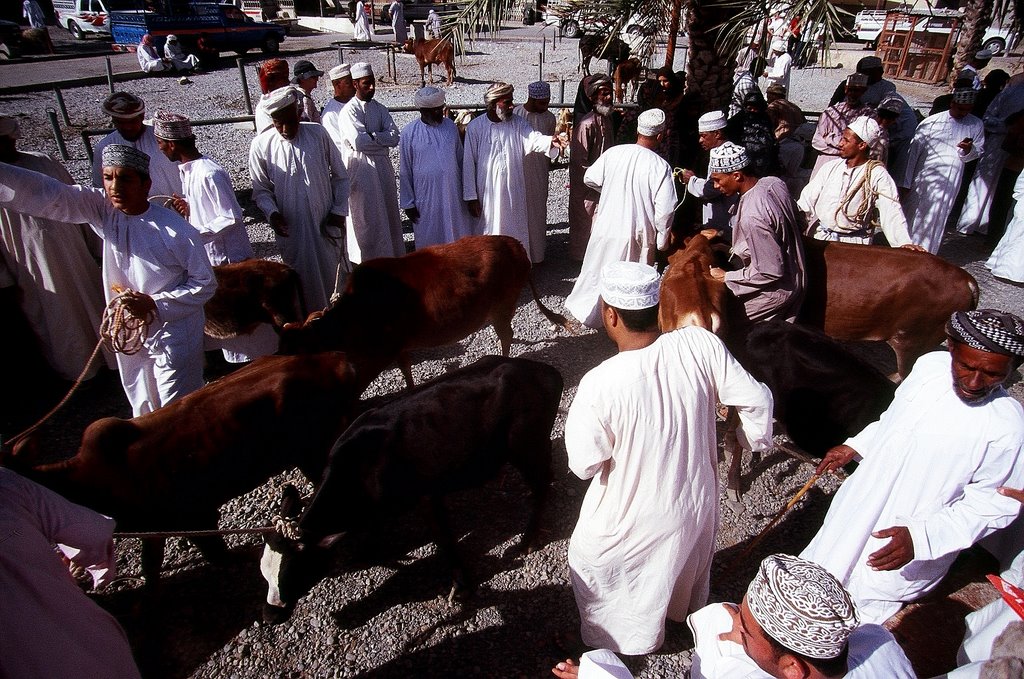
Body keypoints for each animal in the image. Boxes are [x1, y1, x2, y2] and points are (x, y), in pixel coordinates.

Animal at [3, 350, 387, 585]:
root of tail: (336, 359)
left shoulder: (193, 515)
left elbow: (211, 552)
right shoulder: (156, 528)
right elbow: (151, 566)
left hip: (312, 449)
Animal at [256, 358, 561, 622]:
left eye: (293, 572)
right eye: (264, 574)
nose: (269, 615)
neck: (358, 467)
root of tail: (545, 370)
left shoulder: (428, 498)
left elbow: (445, 540)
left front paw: (461, 585)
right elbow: (374, 529)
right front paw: (367, 553)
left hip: (526, 446)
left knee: (542, 483)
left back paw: (528, 538)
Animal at [278, 236, 569, 387]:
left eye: (296, 352)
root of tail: (516, 245)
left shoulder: (381, 353)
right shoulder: (398, 346)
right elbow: (406, 369)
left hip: (503, 305)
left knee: (506, 335)